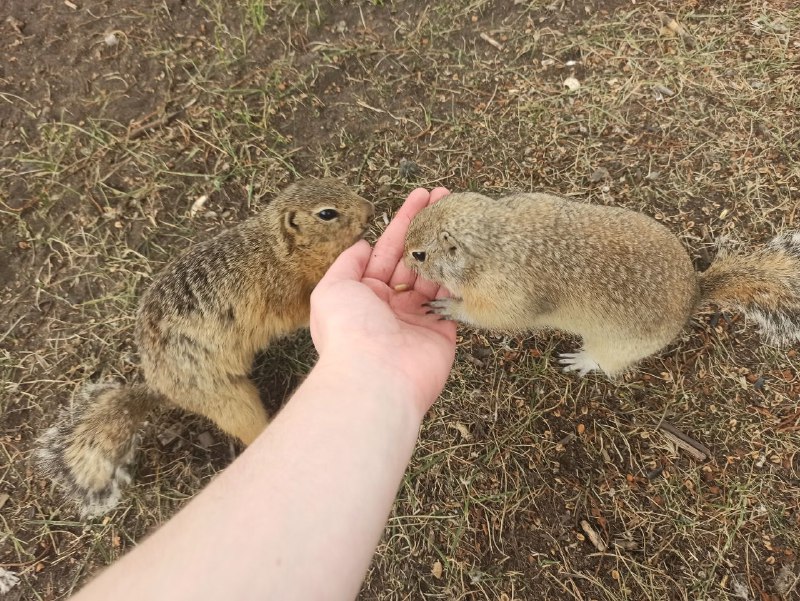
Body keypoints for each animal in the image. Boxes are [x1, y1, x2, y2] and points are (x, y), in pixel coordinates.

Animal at [35, 178, 374, 517]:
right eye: (327, 214)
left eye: (339, 184)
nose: (369, 211)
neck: (277, 249)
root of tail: (160, 387)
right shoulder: (282, 294)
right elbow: (300, 310)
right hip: (229, 399)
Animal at [404, 191, 800, 377]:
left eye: (420, 255)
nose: (404, 254)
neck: (498, 239)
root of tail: (695, 295)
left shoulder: (507, 294)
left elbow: (496, 317)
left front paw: (449, 305)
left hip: (615, 346)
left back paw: (582, 360)